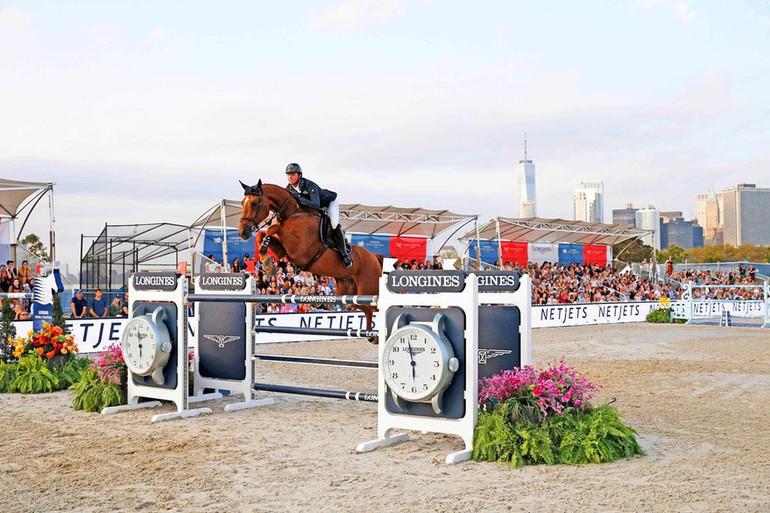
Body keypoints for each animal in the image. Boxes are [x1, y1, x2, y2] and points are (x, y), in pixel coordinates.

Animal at [237, 181, 380, 336]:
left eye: (254, 203)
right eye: (242, 203)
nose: (242, 232)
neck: (292, 214)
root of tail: (374, 258)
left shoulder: (297, 249)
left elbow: (272, 228)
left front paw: (267, 261)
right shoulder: (283, 251)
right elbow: (262, 235)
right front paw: (268, 263)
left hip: (368, 288)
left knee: (374, 306)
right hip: (346, 292)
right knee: (366, 308)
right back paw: (372, 336)